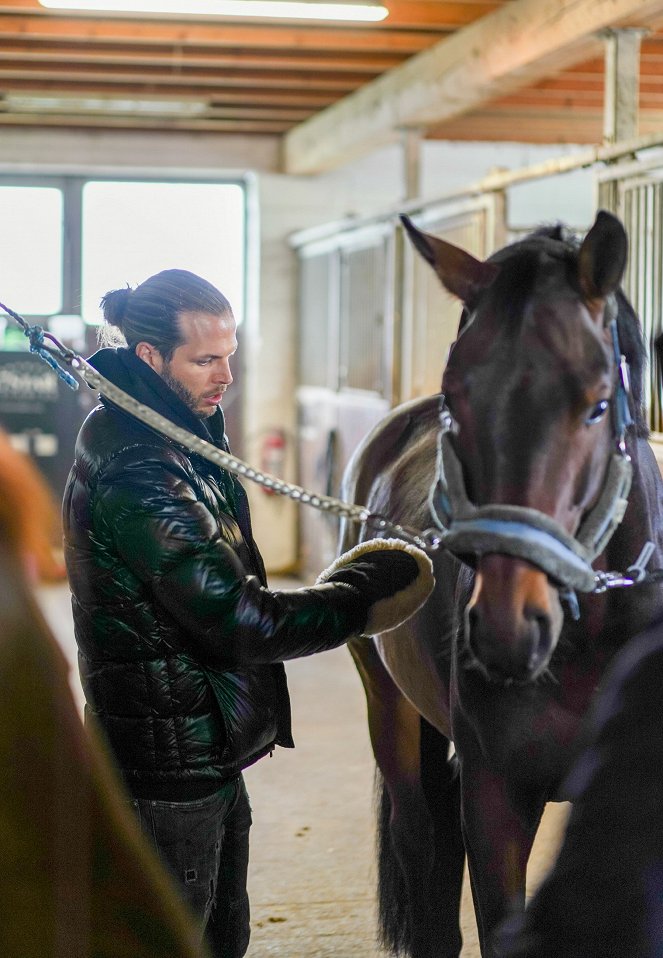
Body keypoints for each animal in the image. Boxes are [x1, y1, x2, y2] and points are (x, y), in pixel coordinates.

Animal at [340, 212, 663, 958]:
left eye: (596, 404)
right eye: (457, 400)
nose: (508, 629)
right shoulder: (495, 800)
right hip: (390, 716)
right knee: (423, 859)